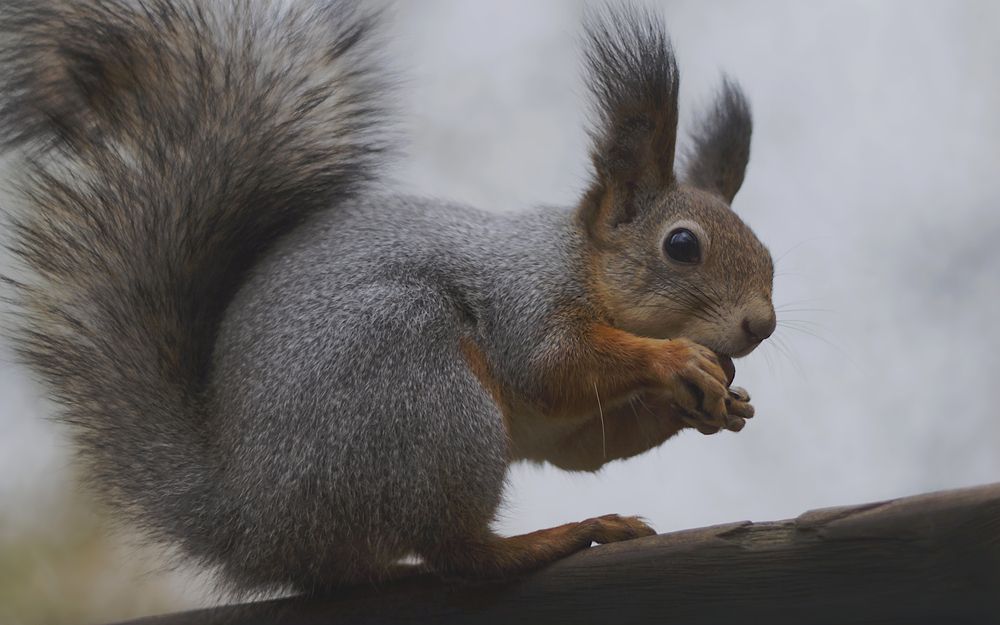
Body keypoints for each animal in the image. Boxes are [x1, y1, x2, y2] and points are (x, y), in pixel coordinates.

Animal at [0, 0, 775, 594]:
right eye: (682, 245)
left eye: (767, 256)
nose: (761, 325)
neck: (582, 264)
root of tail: (251, 522)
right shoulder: (525, 297)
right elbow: (552, 363)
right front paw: (676, 362)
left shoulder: (566, 429)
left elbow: (583, 446)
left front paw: (715, 402)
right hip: (420, 390)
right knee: (460, 553)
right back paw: (565, 534)